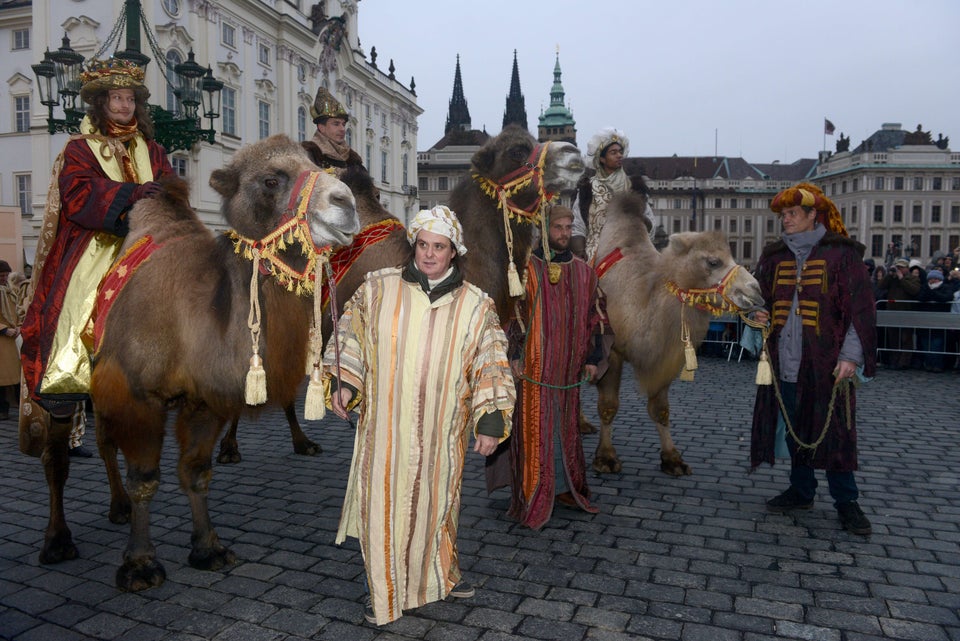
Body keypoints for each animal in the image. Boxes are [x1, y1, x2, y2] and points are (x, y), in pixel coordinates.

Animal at [35, 136, 360, 592]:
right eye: (271, 179)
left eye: (318, 165)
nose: (345, 202)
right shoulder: (138, 394)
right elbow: (145, 479)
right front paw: (140, 564)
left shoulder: (204, 401)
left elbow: (195, 471)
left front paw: (208, 548)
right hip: (60, 381)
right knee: (56, 456)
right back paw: (58, 540)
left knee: (103, 442)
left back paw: (116, 508)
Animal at [588, 194, 760, 476]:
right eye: (713, 261)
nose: (755, 290)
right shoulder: (610, 352)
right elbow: (608, 405)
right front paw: (605, 458)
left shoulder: (665, 355)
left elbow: (660, 409)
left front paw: (672, 459)